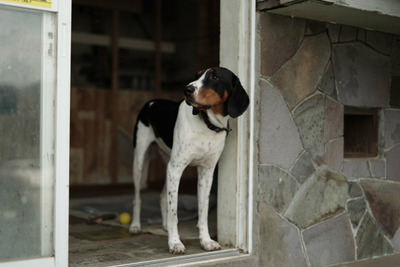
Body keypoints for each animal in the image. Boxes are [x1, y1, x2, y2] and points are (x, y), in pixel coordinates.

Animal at [130, 66, 248, 254]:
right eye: (197, 75)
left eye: (215, 77)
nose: (187, 89)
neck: (208, 125)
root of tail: (151, 101)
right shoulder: (176, 168)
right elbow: (174, 213)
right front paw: (175, 243)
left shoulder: (206, 172)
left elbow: (203, 211)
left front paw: (206, 240)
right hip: (141, 160)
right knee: (137, 197)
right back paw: (135, 225)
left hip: (168, 164)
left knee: (163, 195)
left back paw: (164, 225)